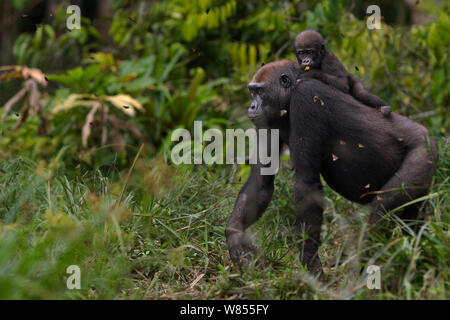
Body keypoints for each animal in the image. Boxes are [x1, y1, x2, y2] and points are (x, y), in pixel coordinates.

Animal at [227, 59, 438, 272]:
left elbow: (307, 184)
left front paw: (310, 263)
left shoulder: (306, 96)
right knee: (411, 217)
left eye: (260, 92)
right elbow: (261, 179)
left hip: (424, 150)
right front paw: (235, 236)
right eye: (252, 92)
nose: (252, 106)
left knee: (383, 207)